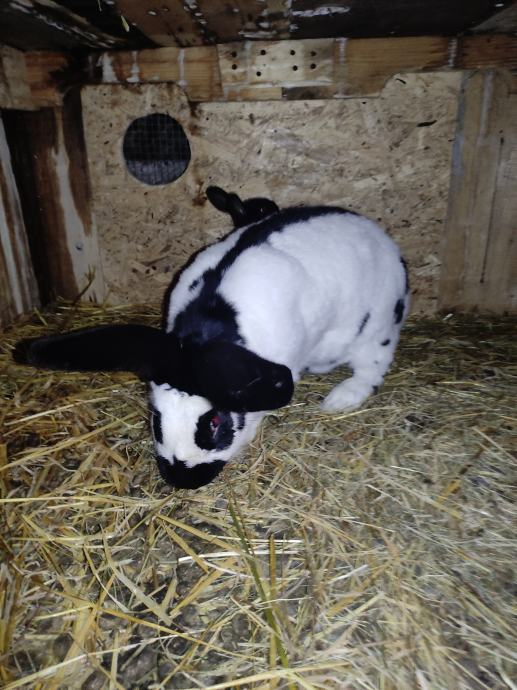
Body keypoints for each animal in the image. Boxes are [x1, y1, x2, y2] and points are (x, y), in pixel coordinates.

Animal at [13, 200, 410, 490]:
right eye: (156, 417)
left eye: (216, 422)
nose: (183, 479)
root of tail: (384, 241)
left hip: (376, 327)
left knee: (372, 366)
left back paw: (340, 399)